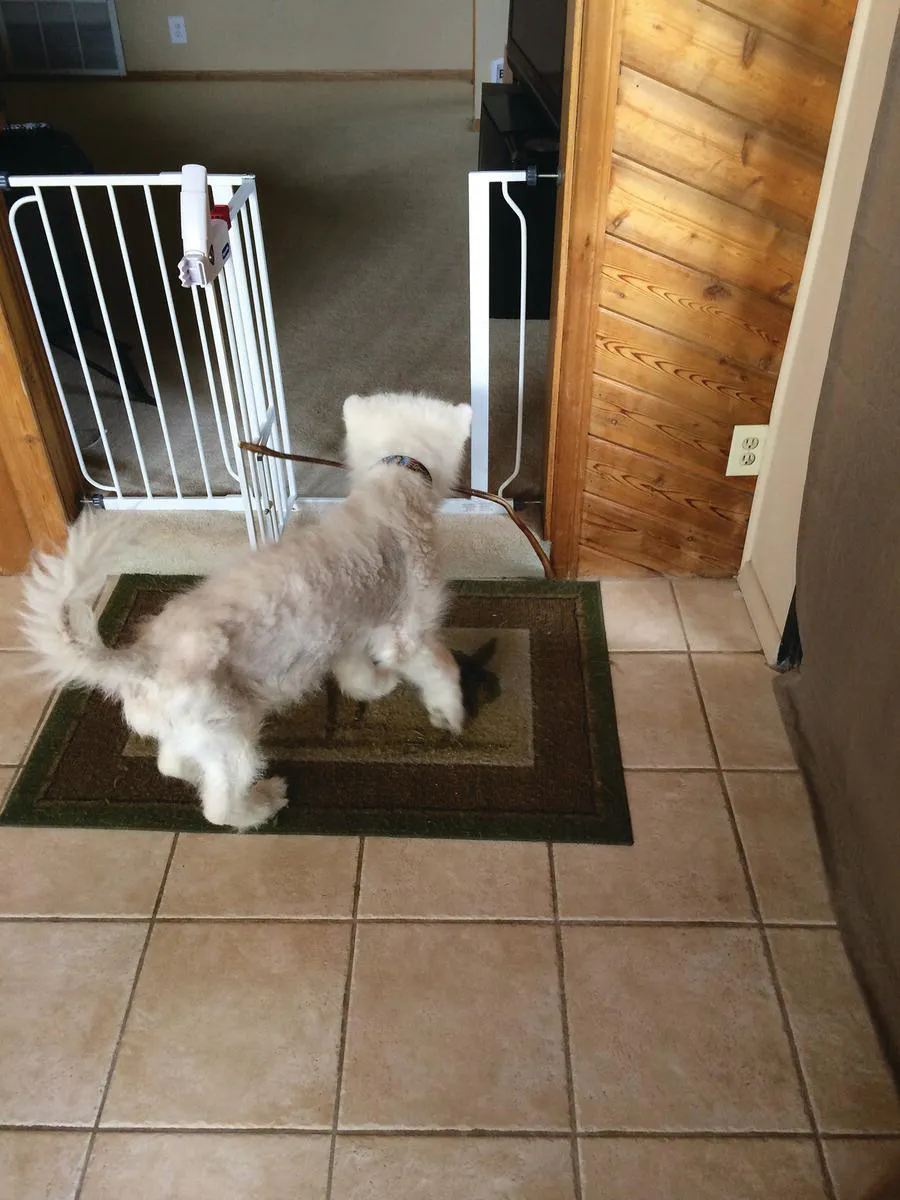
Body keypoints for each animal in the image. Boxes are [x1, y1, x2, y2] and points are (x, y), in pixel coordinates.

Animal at [19, 391, 472, 825]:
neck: (397, 481)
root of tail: (140, 660)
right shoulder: (409, 630)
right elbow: (441, 668)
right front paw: (450, 713)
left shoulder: (347, 635)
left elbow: (357, 676)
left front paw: (379, 686)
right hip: (229, 733)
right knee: (219, 806)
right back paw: (263, 804)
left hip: (193, 731)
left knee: (171, 764)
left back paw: (196, 775)